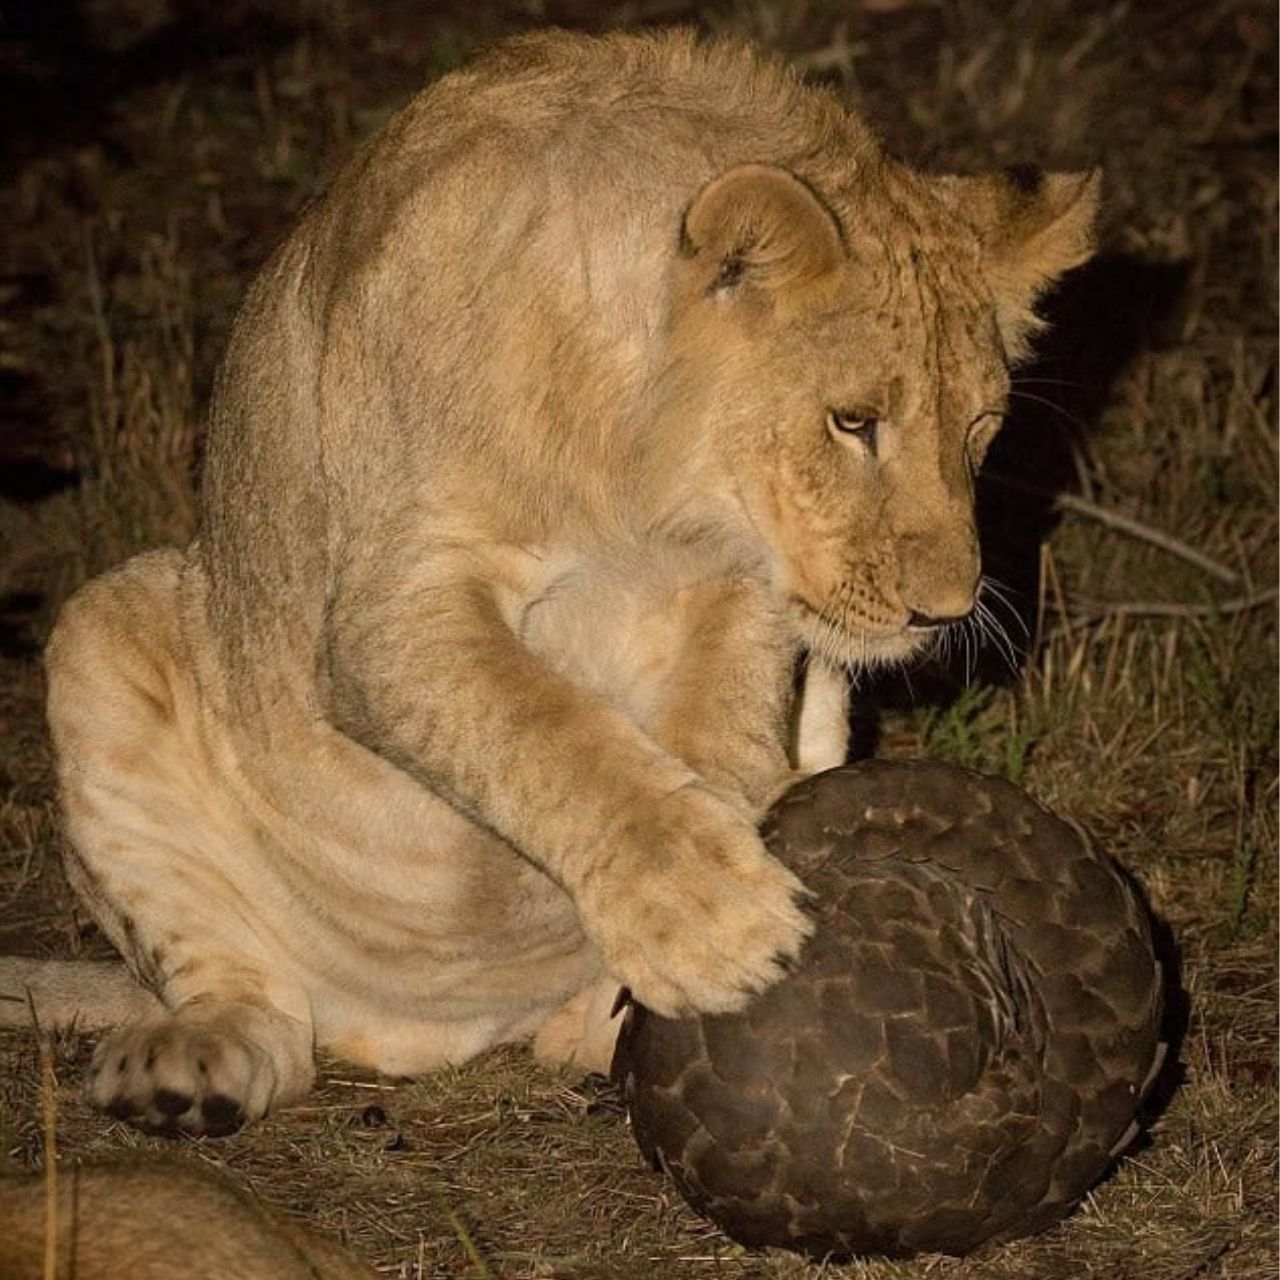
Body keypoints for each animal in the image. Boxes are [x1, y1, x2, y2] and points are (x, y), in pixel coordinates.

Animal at [0, 28, 1096, 1137]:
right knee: (243, 990)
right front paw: (708, 906)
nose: (943, 609)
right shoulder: (394, 603)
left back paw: (599, 1023)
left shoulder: (746, 585)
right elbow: (544, 730)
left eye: (978, 431)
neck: (642, 477)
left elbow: (724, 705)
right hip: (107, 630)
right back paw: (192, 1062)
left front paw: (741, 825)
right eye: (852, 422)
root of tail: (434, 1030)